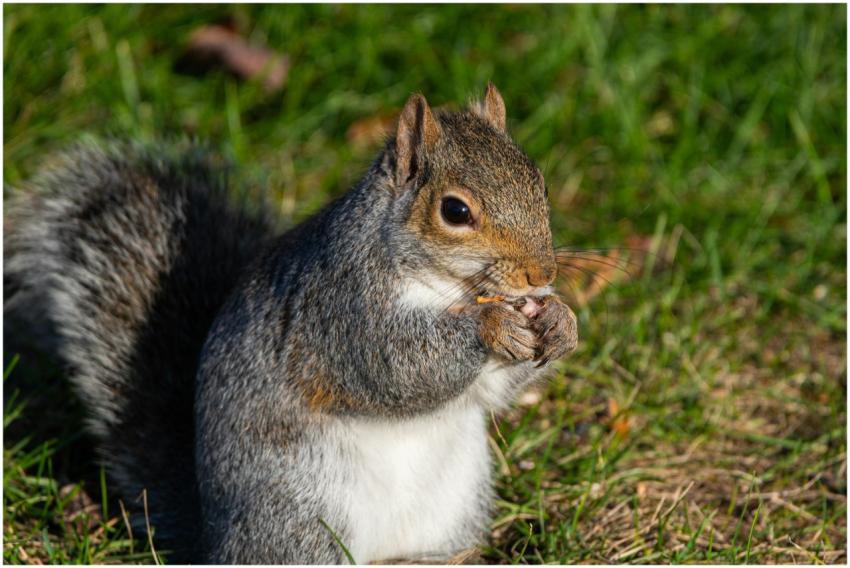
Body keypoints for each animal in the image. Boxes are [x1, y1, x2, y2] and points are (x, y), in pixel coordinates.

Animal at [4, 84, 578, 564]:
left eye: (541, 187)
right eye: (455, 211)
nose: (541, 274)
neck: (448, 288)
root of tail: (213, 542)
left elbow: (491, 391)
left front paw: (562, 321)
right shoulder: (342, 311)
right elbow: (396, 366)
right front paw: (491, 326)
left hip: (453, 507)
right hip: (303, 510)